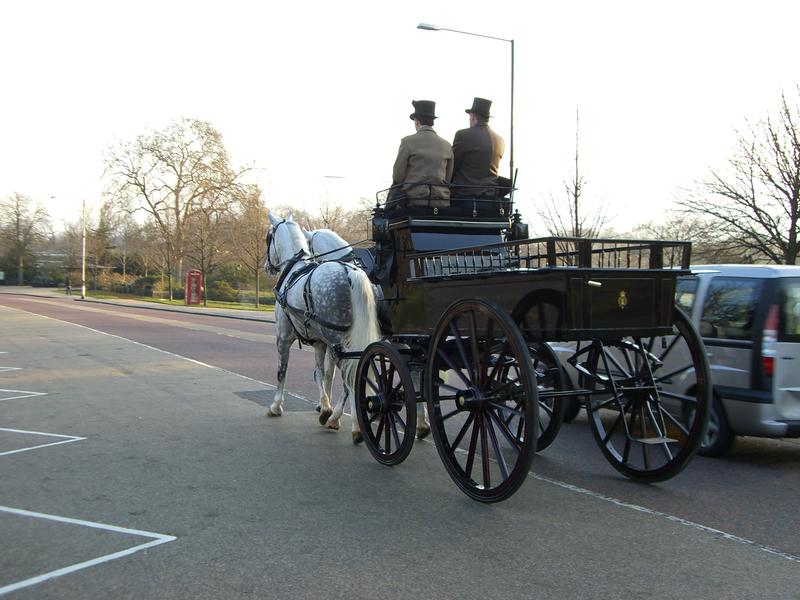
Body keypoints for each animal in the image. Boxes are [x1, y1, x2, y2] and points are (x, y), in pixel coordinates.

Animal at [266, 212, 382, 440]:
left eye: (269, 237)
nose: (267, 266)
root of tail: (350, 272)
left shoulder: (283, 337)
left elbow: (282, 371)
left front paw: (276, 405)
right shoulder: (320, 342)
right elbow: (322, 372)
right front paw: (324, 406)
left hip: (338, 340)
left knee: (351, 376)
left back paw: (351, 424)